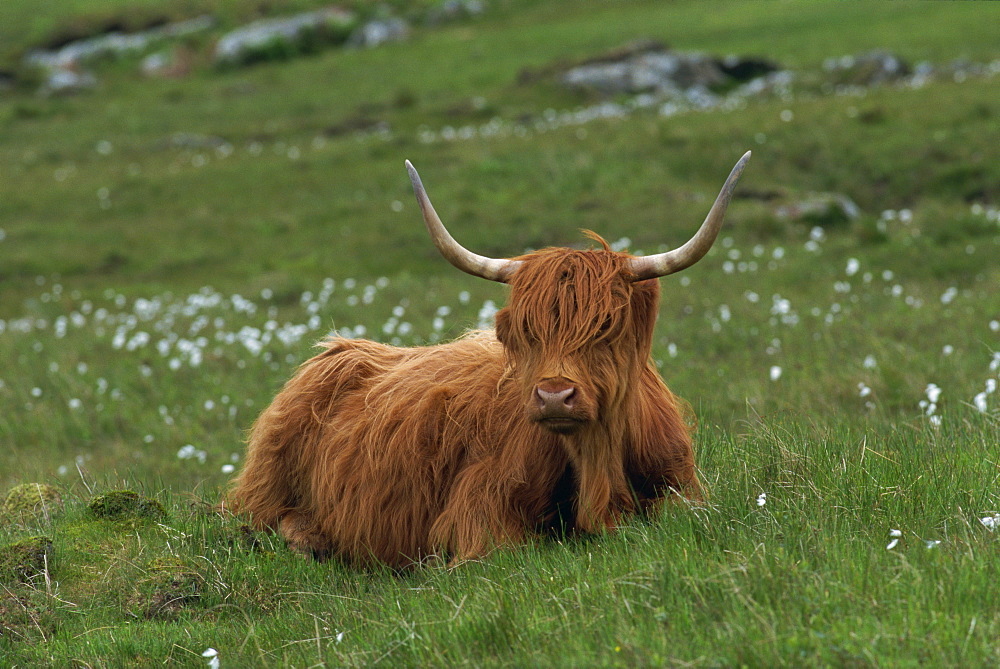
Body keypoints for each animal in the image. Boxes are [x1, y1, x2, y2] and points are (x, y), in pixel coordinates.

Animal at [230, 150, 752, 564]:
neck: (597, 469)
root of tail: (340, 349)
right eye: (525, 331)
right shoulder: (476, 514)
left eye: (606, 327)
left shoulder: (684, 488)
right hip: (264, 488)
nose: (554, 396)